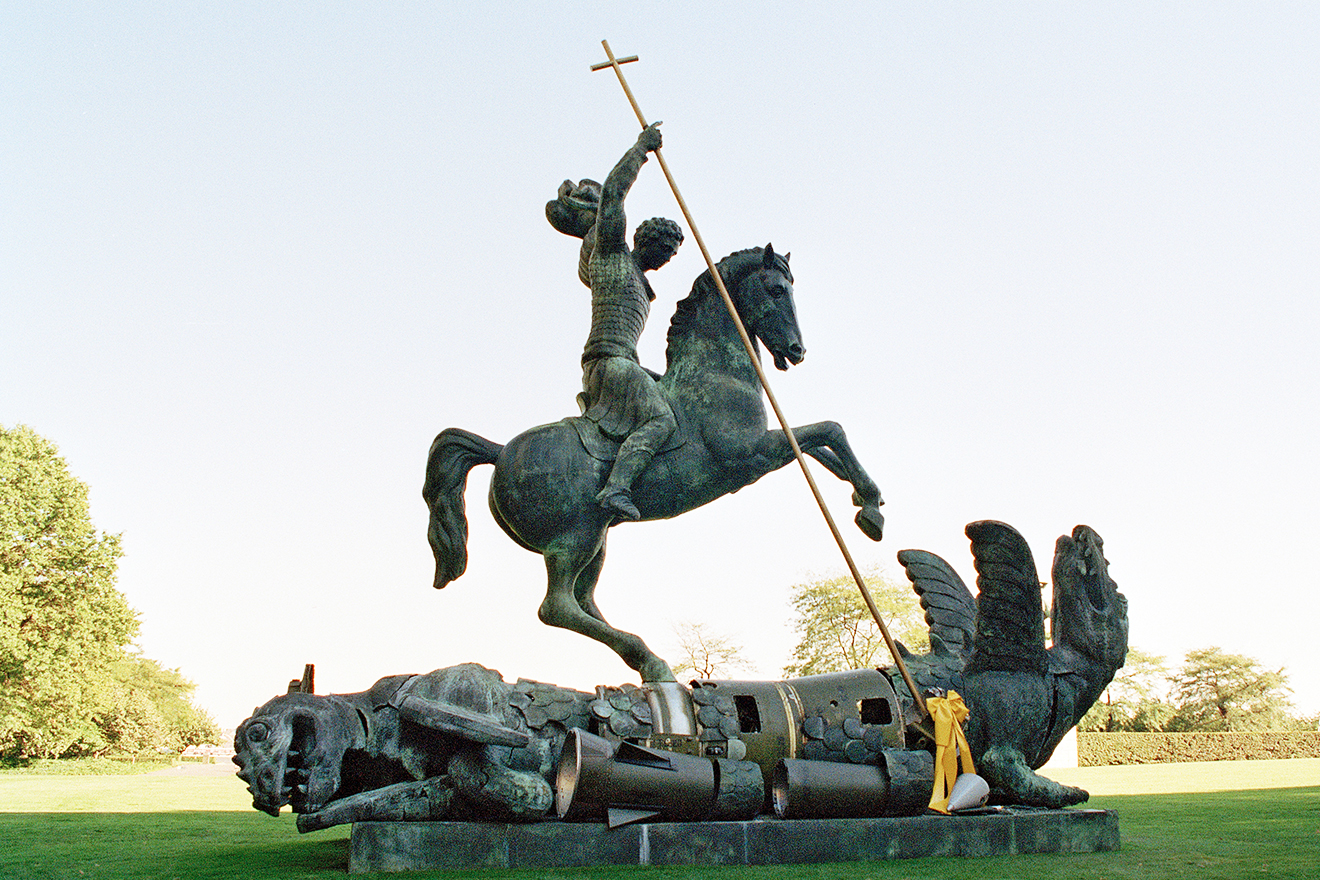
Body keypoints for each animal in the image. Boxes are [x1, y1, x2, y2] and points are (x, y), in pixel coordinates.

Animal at [425, 246, 887, 680]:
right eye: (776, 289)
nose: (797, 350)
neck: (716, 370)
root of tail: (501, 451)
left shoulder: (767, 447)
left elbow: (820, 446)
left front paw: (867, 501)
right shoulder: (749, 454)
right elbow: (828, 430)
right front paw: (871, 509)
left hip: (596, 537)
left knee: (584, 601)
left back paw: (645, 659)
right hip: (573, 538)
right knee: (556, 607)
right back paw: (651, 661)